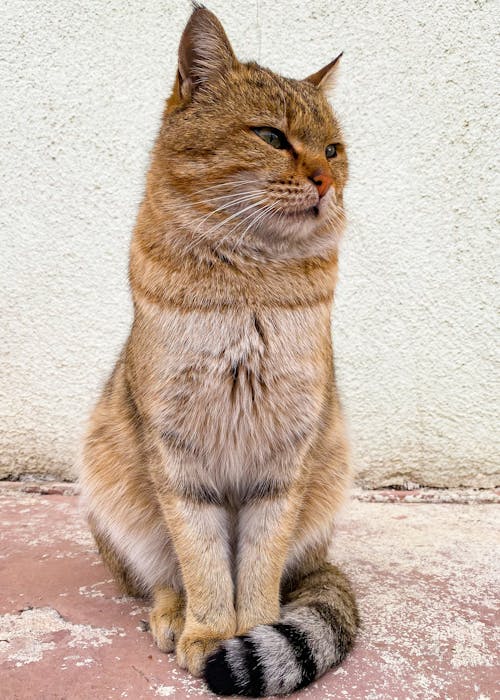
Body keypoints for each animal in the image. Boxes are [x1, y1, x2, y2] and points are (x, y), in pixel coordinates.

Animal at [79, 2, 360, 696]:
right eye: (272, 137)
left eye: (333, 149)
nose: (324, 179)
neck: (250, 284)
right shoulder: (178, 457)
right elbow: (201, 560)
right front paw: (209, 631)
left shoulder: (284, 460)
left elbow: (258, 566)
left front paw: (251, 627)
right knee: (158, 578)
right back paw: (173, 616)